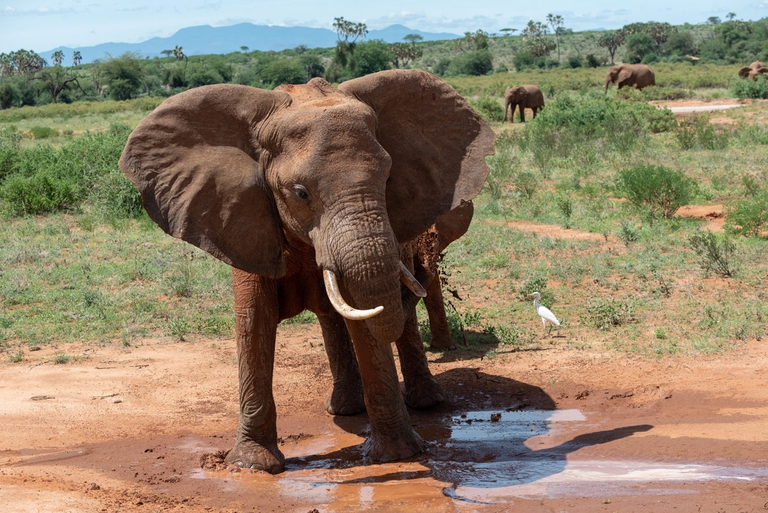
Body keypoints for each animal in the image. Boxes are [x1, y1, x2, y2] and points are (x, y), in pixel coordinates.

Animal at [118, 70, 495, 473]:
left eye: (389, 179)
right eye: (300, 193)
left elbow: (366, 317)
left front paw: (398, 456)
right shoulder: (243, 217)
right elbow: (254, 319)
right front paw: (252, 466)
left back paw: (423, 403)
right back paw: (345, 409)